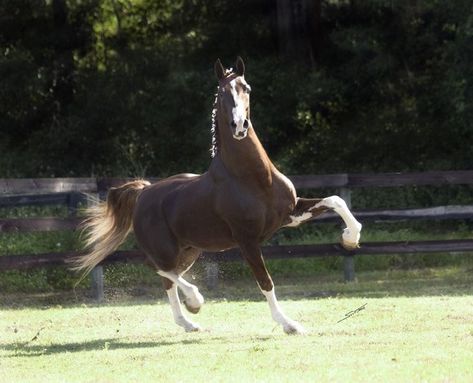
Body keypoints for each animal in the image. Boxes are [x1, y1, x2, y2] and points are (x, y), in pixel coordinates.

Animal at [73, 57, 362, 336]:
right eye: (223, 93)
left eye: (247, 88)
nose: (239, 126)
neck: (253, 179)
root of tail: (144, 192)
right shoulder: (247, 240)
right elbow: (265, 282)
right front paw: (290, 325)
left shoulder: (290, 213)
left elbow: (335, 200)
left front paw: (350, 239)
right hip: (165, 249)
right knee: (158, 268)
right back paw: (195, 301)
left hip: (189, 250)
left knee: (168, 278)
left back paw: (189, 323)